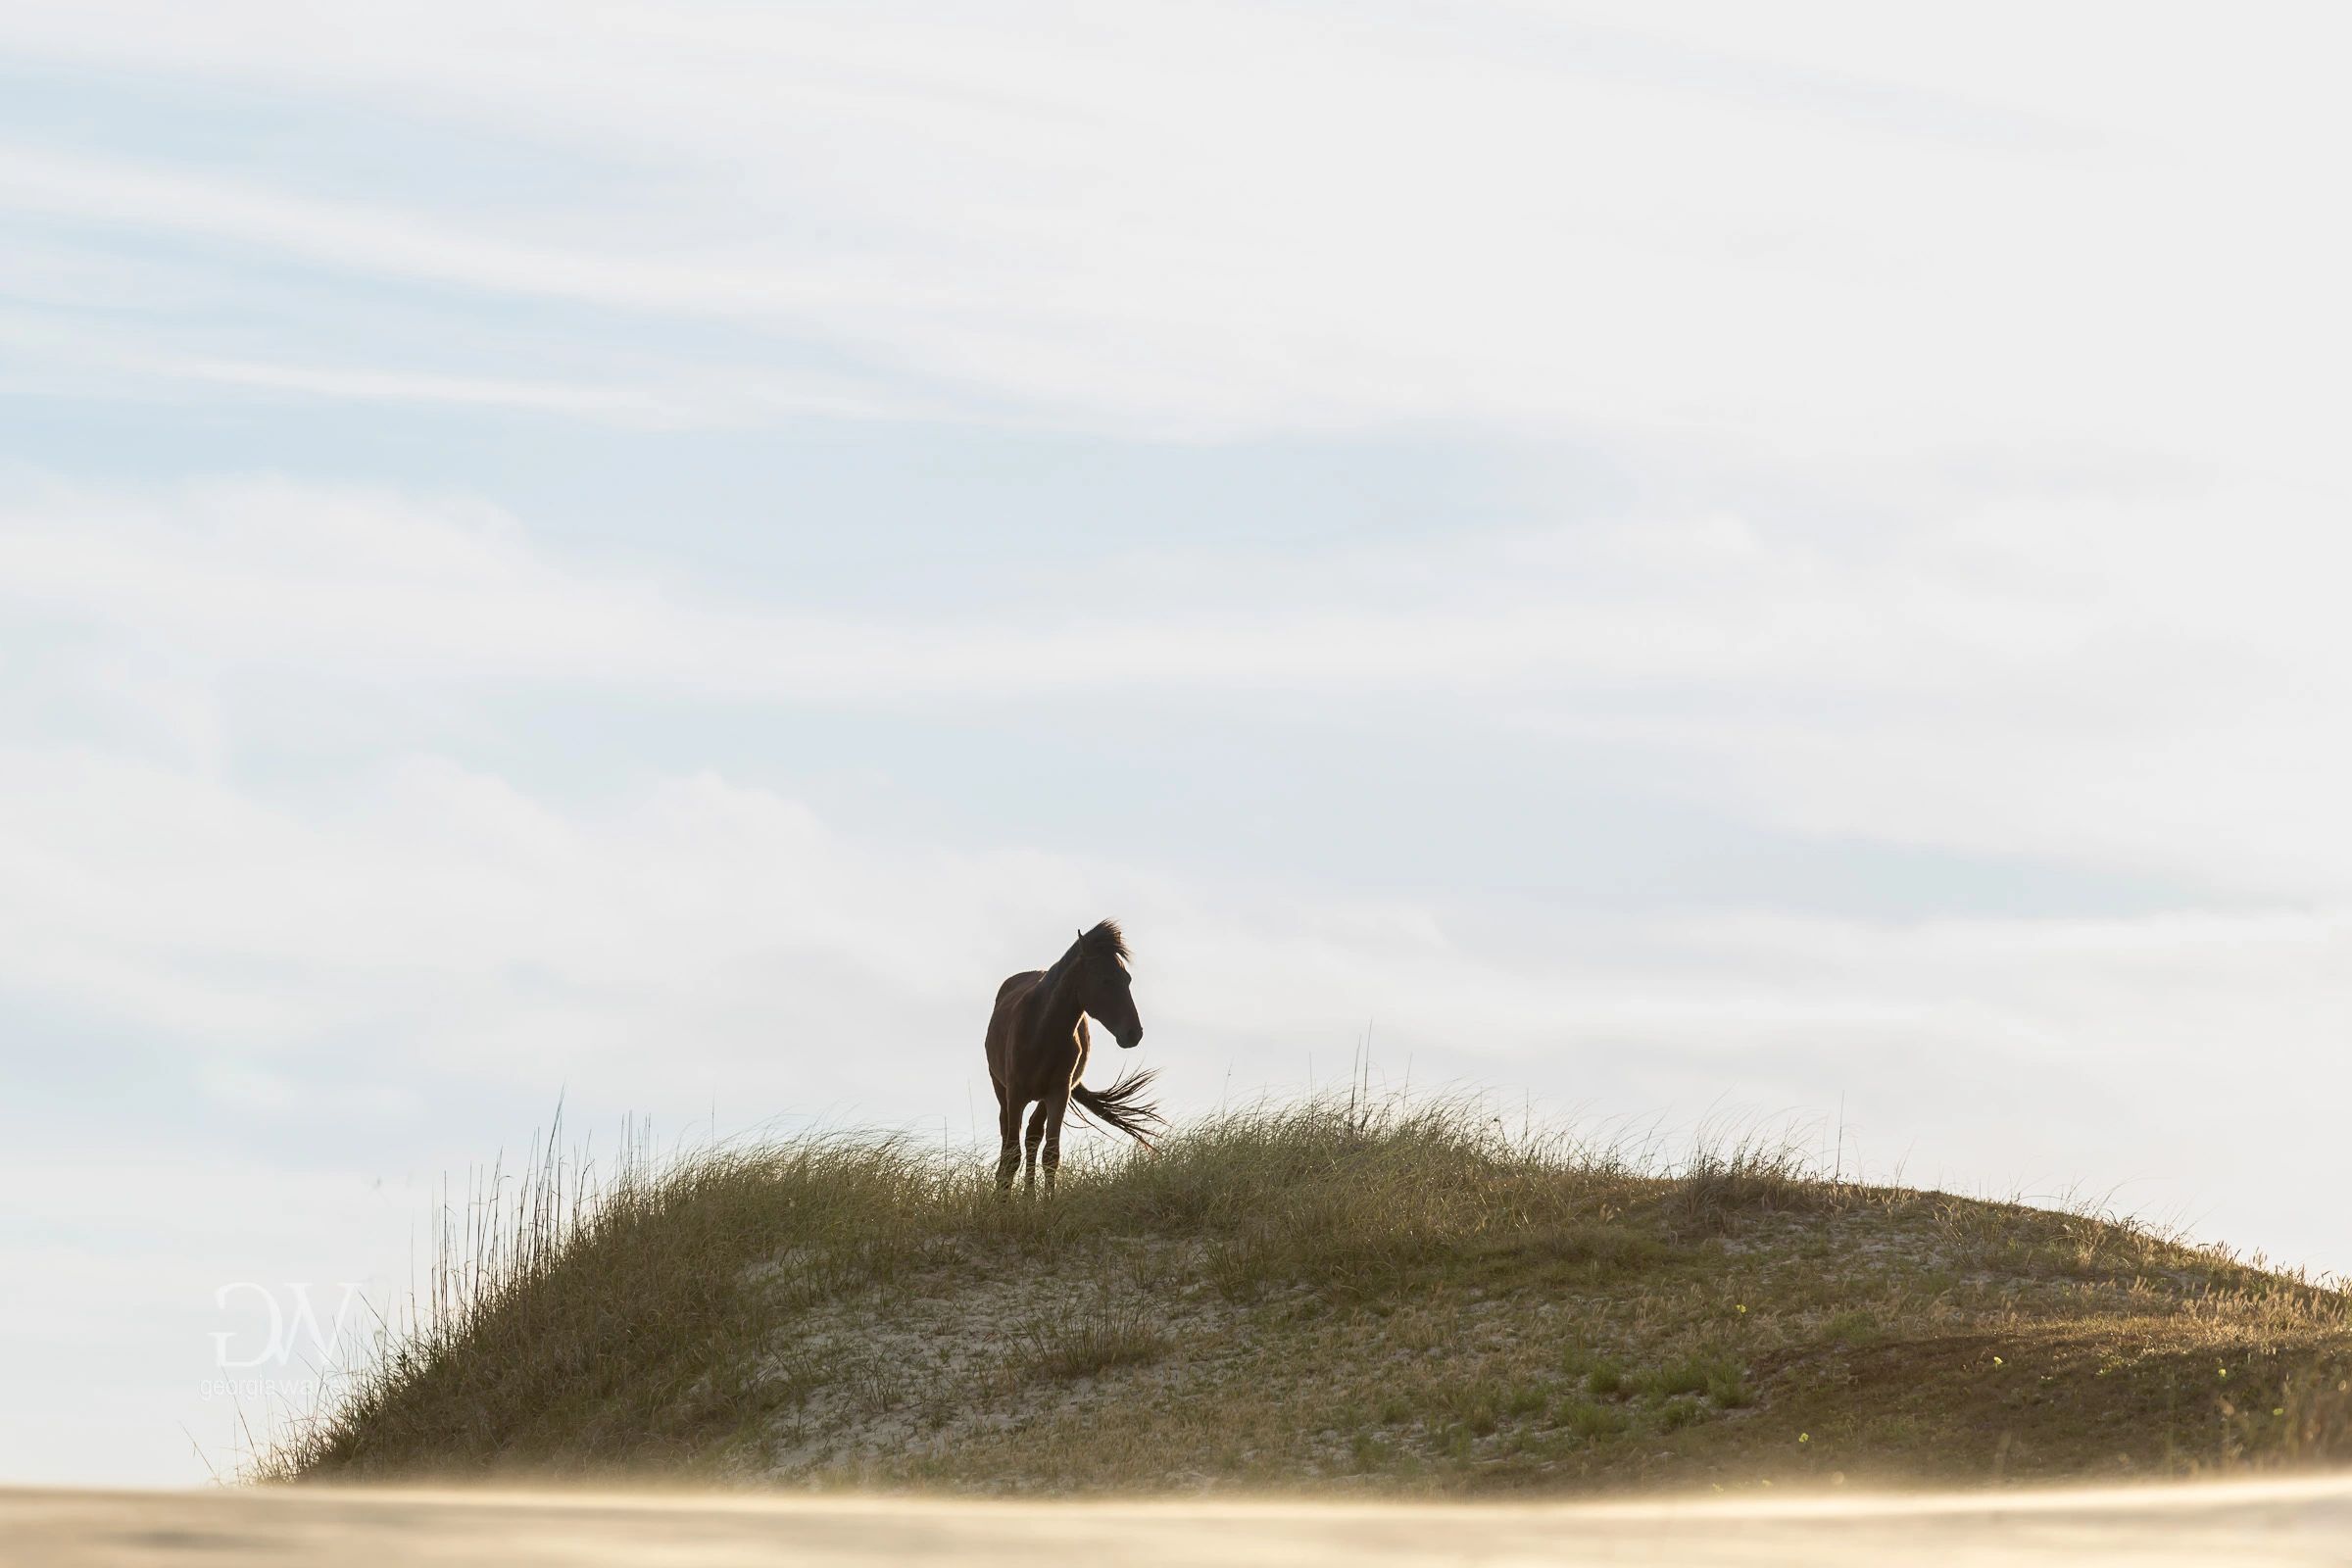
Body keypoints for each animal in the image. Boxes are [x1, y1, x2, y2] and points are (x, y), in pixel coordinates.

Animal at [985, 918, 1163, 1194]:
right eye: (1105, 980)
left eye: (1127, 979)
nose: (1134, 1033)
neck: (1041, 1030)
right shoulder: (1015, 1094)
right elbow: (1011, 1153)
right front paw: (1002, 1202)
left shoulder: (1059, 1093)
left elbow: (1050, 1154)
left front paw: (1047, 1203)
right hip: (1001, 1089)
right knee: (1009, 1140)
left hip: (1044, 1098)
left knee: (1033, 1137)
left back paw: (1029, 1196)